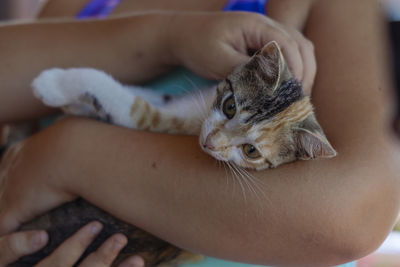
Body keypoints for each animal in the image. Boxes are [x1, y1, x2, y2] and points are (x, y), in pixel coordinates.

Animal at [10, 41, 334, 267]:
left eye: (250, 151)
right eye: (230, 106)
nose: (210, 143)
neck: (197, 118)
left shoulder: (151, 121)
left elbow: (123, 98)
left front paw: (52, 84)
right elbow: (142, 93)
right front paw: (76, 104)